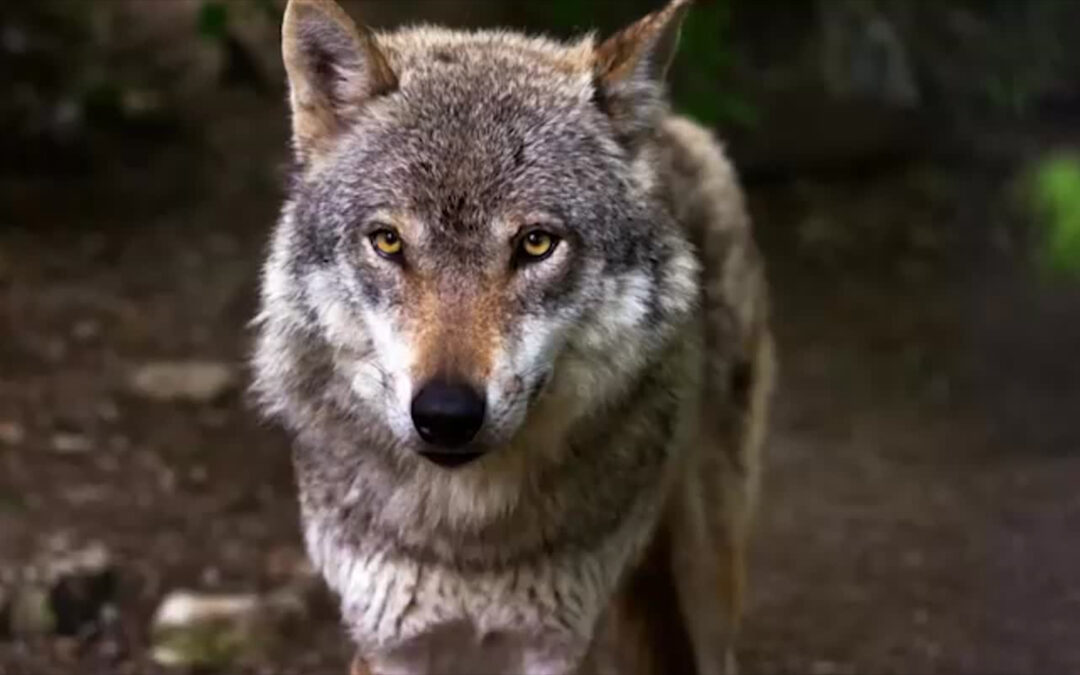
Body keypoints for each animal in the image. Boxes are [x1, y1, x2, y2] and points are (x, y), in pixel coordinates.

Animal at [252, 0, 775, 673]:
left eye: (536, 244)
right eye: (388, 241)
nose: (446, 414)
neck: (469, 540)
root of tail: (677, 126)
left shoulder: (559, 643)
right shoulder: (389, 641)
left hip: (707, 572)